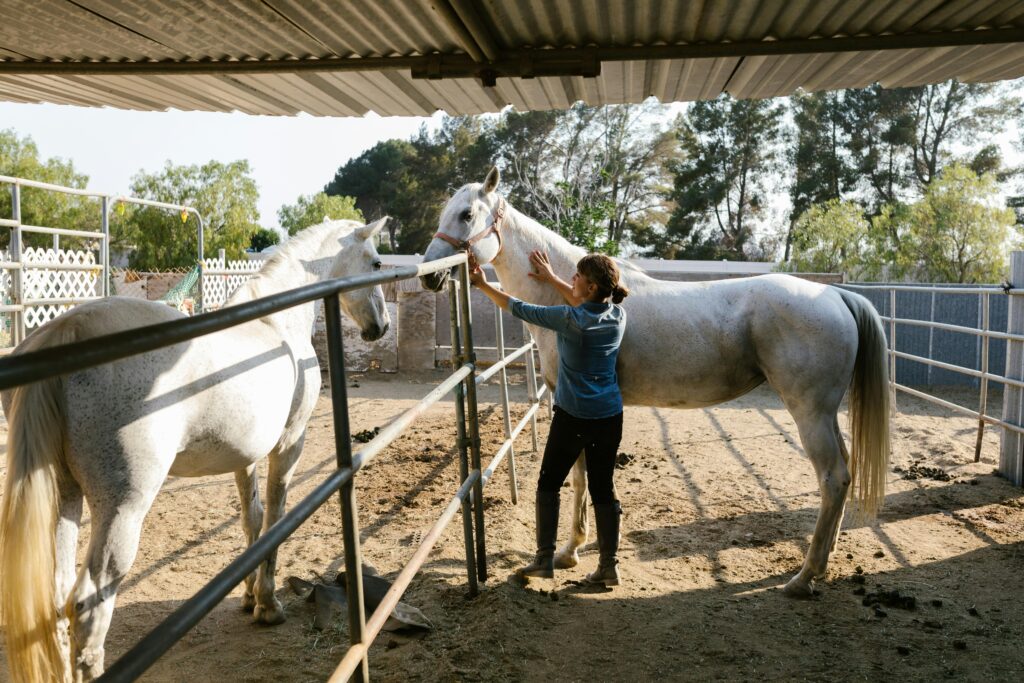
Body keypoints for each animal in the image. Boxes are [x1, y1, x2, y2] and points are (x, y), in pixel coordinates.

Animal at [0, 218, 389, 683]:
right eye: (377, 262)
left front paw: (248, 595)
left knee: (57, 601)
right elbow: (275, 517)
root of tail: (66, 329)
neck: (276, 323)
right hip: (122, 508)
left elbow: (252, 518)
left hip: (65, 494)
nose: (382, 327)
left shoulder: (246, 455)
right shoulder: (288, 443)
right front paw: (267, 604)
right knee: (88, 605)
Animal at [419, 167, 892, 602]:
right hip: (826, 414)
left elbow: (576, 478)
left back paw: (803, 577)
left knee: (832, 478)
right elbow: (585, 479)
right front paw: (579, 548)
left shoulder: (568, 408)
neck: (571, 300)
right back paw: (823, 562)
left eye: (466, 214)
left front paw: (568, 553)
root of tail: (835, 295)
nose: (428, 275)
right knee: (844, 475)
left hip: (810, 413)